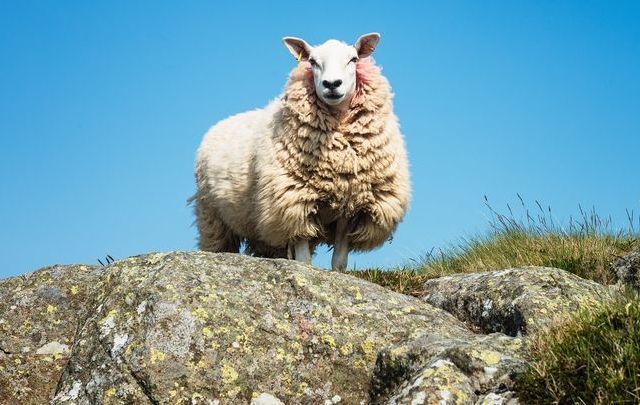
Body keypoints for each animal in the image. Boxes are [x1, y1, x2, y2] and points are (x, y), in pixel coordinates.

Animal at [192, 33, 410, 270]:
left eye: (353, 59)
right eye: (312, 61)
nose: (331, 84)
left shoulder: (350, 206)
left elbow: (339, 261)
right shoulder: (295, 204)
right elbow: (304, 260)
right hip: (214, 218)